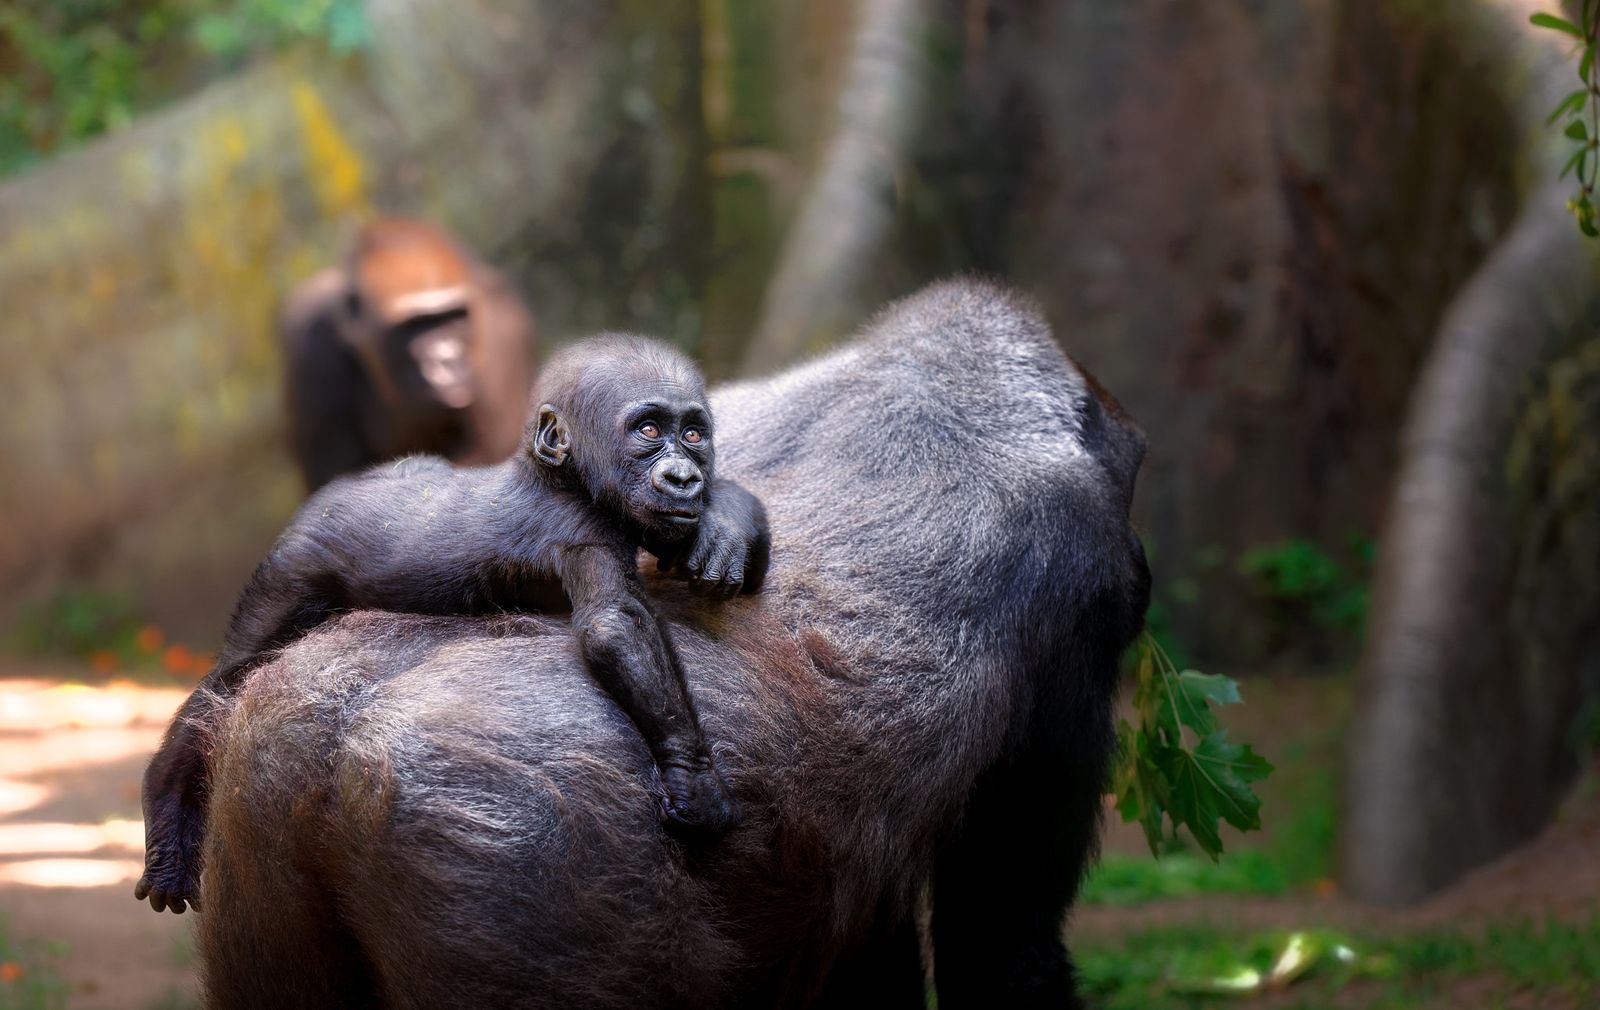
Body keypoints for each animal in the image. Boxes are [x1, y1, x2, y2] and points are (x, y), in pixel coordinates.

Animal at [136, 334, 768, 915]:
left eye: (693, 434)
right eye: (648, 430)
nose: (684, 477)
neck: (560, 477)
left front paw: (725, 523)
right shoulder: (582, 530)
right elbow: (616, 626)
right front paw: (695, 778)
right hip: (293, 568)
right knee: (226, 681)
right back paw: (167, 805)